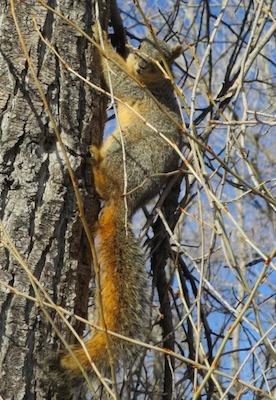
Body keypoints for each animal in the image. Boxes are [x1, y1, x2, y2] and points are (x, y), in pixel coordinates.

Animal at [48, 25, 183, 396]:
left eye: (160, 61)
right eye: (138, 48)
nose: (139, 64)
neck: (151, 82)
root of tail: (128, 201)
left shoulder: (136, 89)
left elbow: (117, 77)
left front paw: (97, 35)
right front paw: (111, 33)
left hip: (128, 153)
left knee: (106, 183)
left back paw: (94, 165)